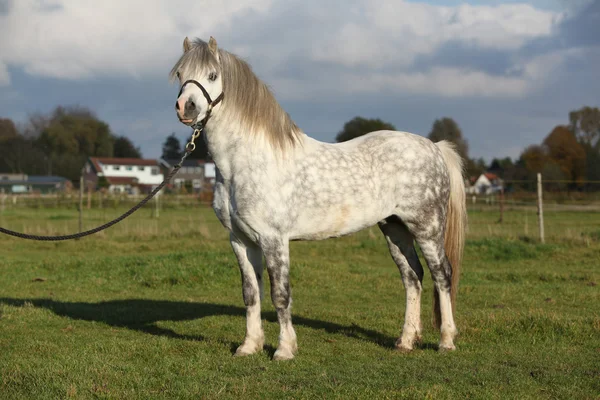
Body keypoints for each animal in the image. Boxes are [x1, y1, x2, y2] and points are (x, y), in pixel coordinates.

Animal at [171, 37, 466, 360]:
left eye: (212, 75)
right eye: (180, 74)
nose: (185, 107)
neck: (245, 162)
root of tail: (434, 147)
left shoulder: (274, 239)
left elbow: (280, 294)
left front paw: (284, 350)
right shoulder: (241, 240)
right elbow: (251, 294)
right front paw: (249, 346)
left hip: (428, 228)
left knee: (442, 275)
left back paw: (446, 341)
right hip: (394, 228)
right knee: (412, 277)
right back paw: (406, 340)